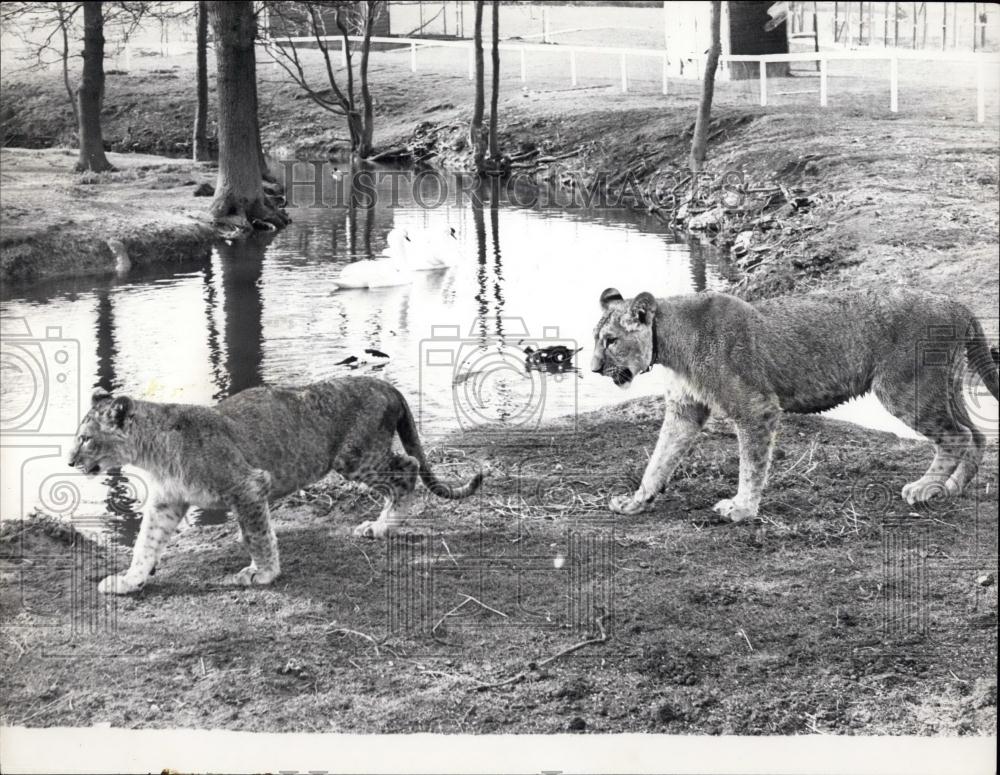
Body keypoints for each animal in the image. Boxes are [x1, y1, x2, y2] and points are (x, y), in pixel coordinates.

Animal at [68, 377, 483, 594]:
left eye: (86, 439)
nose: (70, 461)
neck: (151, 452)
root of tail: (385, 384)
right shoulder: (166, 502)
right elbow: (146, 543)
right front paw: (129, 580)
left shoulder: (249, 485)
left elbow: (257, 535)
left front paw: (263, 574)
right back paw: (381, 525)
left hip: (353, 458)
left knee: (408, 468)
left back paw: (383, 526)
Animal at [592, 288, 998, 522]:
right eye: (597, 338)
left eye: (610, 340)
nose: (594, 368)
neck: (671, 343)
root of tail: (956, 304)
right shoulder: (685, 410)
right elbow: (659, 459)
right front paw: (636, 502)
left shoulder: (756, 407)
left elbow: (751, 466)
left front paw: (741, 510)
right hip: (942, 387)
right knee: (976, 434)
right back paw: (951, 488)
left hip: (904, 389)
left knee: (957, 436)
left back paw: (926, 489)